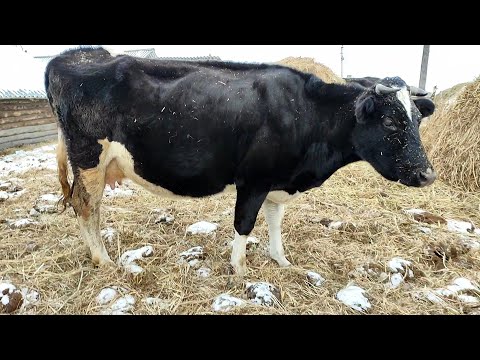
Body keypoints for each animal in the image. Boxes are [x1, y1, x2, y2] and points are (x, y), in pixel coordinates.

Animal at [44, 46, 436, 274]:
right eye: (389, 121)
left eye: (418, 119)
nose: (427, 175)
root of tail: (74, 56)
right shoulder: (253, 180)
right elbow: (244, 224)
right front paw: (240, 269)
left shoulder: (279, 181)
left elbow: (276, 222)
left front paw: (281, 261)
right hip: (89, 157)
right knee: (85, 205)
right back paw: (103, 260)